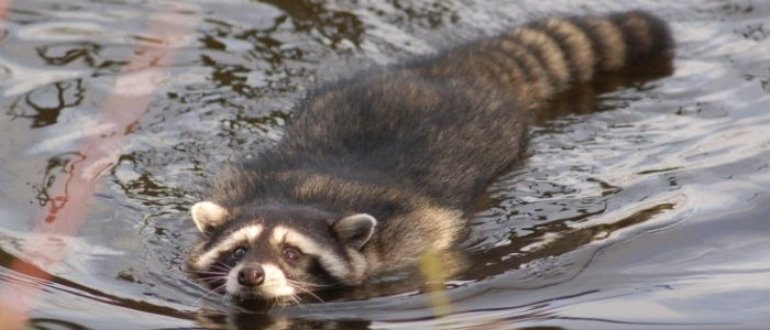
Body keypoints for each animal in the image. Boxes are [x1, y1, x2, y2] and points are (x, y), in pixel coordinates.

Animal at [188, 10, 672, 302]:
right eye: (238, 250)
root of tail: (445, 72)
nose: (251, 275)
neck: (299, 198)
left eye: (291, 254)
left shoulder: (414, 234)